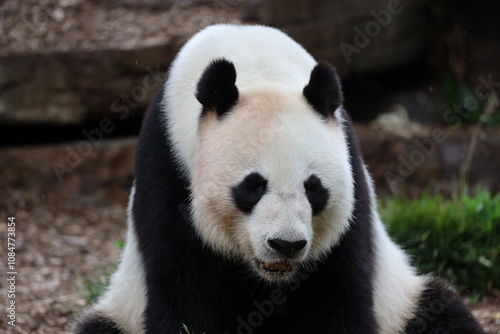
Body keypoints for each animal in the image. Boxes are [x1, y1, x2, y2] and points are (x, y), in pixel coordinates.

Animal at [75, 24, 484, 334]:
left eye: (314, 189)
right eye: (253, 186)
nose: (286, 244)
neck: (256, 67)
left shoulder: (351, 180)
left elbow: (340, 291)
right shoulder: (168, 169)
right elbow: (182, 286)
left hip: (401, 299)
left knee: (441, 311)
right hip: (122, 309)